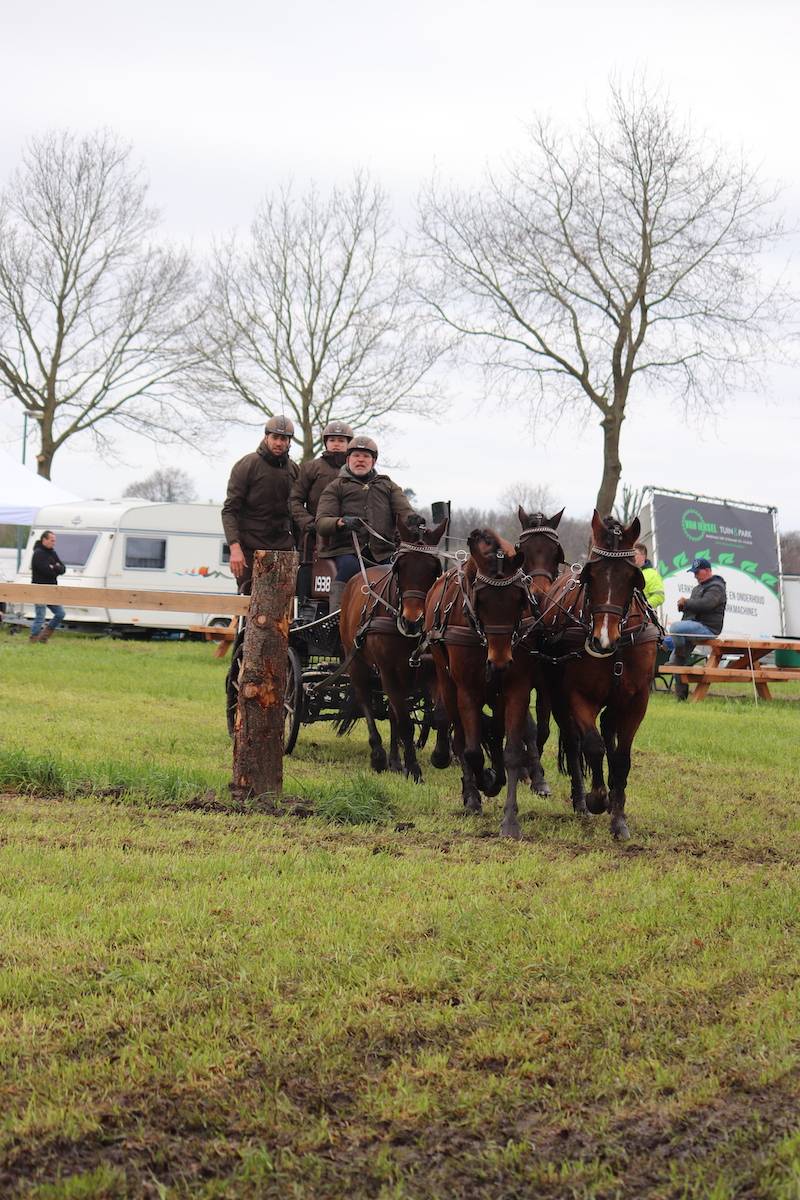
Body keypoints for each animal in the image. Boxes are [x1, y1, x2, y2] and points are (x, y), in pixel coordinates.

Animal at [338, 513, 449, 781]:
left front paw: (440, 756)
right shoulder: (388, 670)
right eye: (400, 567)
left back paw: (395, 761)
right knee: (366, 700)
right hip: (356, 662)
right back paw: (379, 756)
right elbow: (406, 723)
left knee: (392, 713)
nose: (413, 621)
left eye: (435, 569)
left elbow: (439, 715)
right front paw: (415, 769)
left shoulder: (432, 671)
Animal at [424, 528, 533, 838]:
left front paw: (510, 820)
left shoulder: (517, 689)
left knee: (494, 733)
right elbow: (471, 750)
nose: (499, 663)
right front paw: (483, 781)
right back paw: (473, 793)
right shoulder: (467, 690)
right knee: (461, 738)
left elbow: (511, 752)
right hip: (447, 683)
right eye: (481, 601)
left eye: (518, 600)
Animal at [540, 511, 661, 840]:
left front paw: (618, 818)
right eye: (590, 576)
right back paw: (582, 801)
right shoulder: (578, 695)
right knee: (574, 742)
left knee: (608, 732)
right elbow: (592, 746)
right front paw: (596, 798)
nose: (603, 640)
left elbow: (622, 758)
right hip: (555, 694)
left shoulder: (637, 700)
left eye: (632, 578)